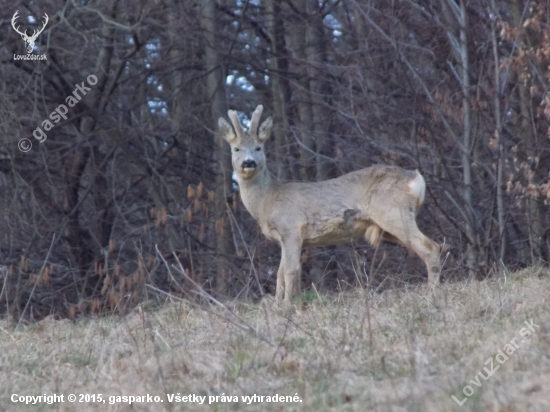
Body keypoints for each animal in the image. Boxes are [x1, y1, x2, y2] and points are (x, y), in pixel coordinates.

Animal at [220, 105, 440, 306]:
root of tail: (416, 178)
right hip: (389, 224)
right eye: (236, 148)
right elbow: (280, 272)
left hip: (392, 211)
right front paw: (278, 305)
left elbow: (290, 271)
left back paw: (431, 293)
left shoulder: (291, 229)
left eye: (259, 147)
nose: (249, 162)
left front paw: (287, 307)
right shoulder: (283, 238)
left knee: (430, 246)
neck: (267, 200)